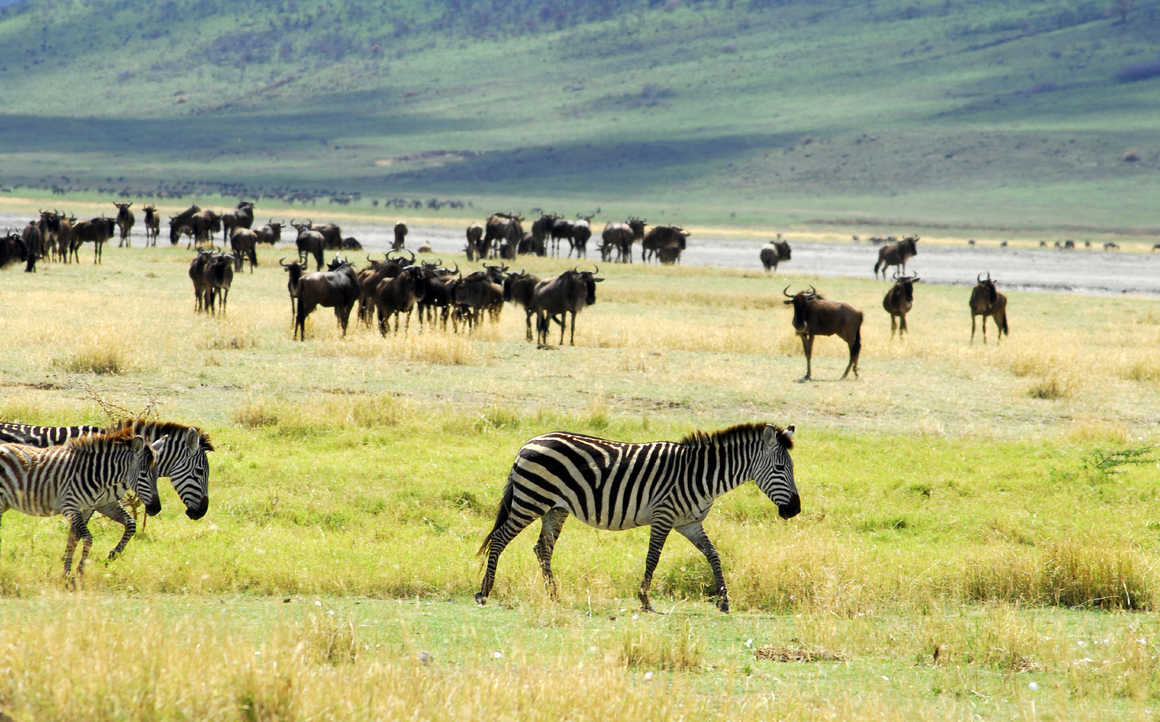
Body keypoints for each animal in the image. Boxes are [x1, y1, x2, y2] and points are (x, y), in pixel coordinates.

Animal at [0, 417, 213, 554]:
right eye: (199, 472)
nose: (201, 512)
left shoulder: (97, 502)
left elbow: (127, 525)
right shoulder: (84, 500)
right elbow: (77, 534)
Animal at [0, 429, 165, 582]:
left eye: (157, 475)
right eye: (143, 474)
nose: (156, 509)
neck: (97, 474)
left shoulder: (95, 506)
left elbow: (75, 537)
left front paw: (109, 556)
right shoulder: (70, 507)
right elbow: (87, 538)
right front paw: (79, 572)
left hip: (4, 503)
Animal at [470, 422, 798, 612]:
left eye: (789, 469)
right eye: (781, 469)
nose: (794, 509)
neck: (701, 475)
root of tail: (528, 442)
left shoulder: (689, 522)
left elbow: (713, 555)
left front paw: (724, 600)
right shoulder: (664, 515)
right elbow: (653, 557)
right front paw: (645, 599)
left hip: (554, 508)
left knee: (542, 548)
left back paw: (554, 595)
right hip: (530, 500)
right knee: (499, 539)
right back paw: (485, 591)